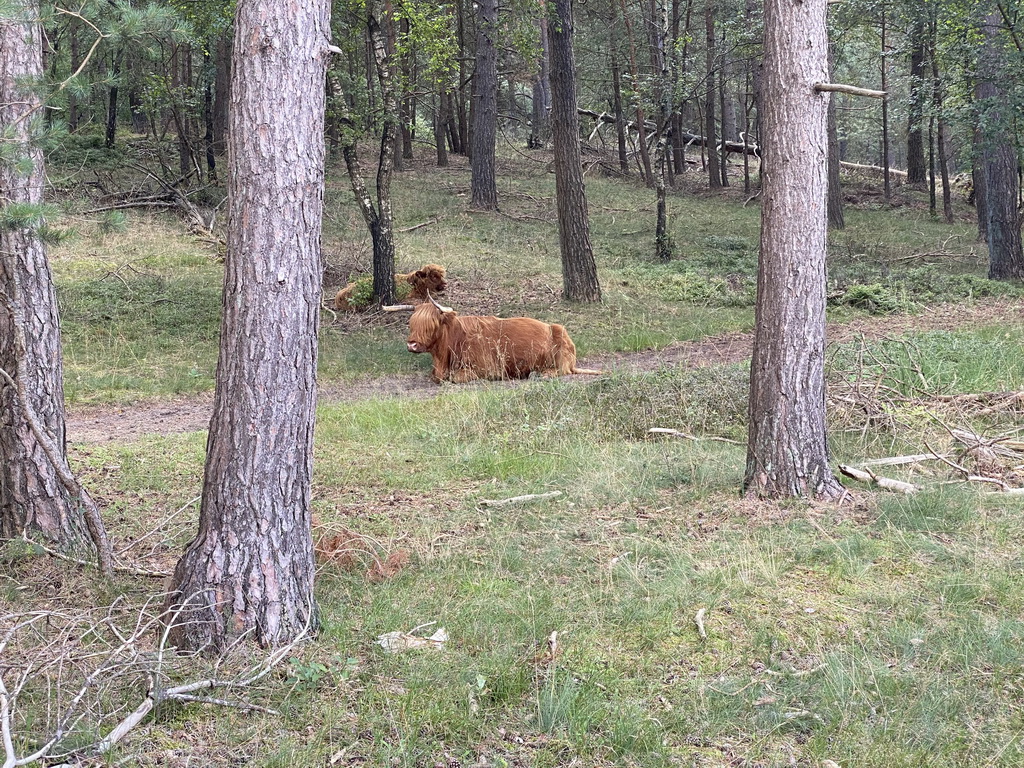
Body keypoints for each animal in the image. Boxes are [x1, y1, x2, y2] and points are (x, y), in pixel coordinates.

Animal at [389, 299, 598, 387]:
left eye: (431, 324)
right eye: (411, 323)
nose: (411, 344)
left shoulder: (487, 369)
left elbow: (455, 377)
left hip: (560, 339)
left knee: (562, 370)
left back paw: (539, 374)